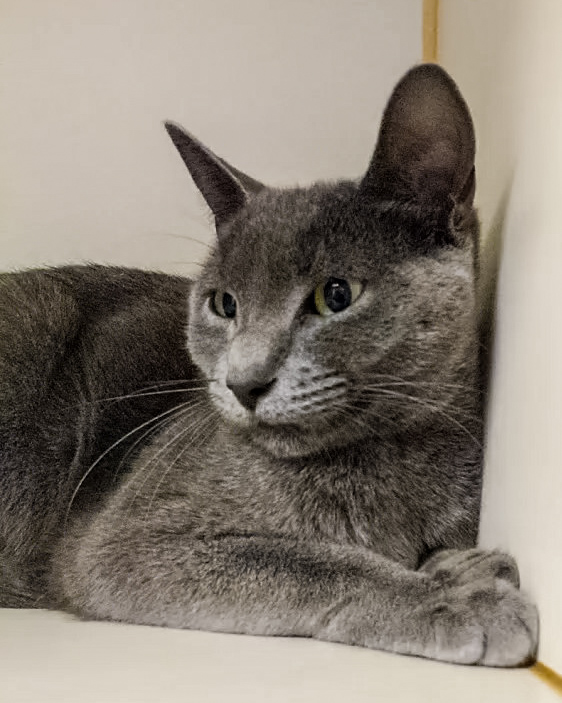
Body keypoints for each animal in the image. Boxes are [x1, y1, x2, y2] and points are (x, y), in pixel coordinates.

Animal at [0, 64, 537, 667]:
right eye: (224, 304)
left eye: (336, 294)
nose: (243, 382)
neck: (387, 460)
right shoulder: (121, 541)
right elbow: (308, 562)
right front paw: (450, 597)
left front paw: (465, 564)